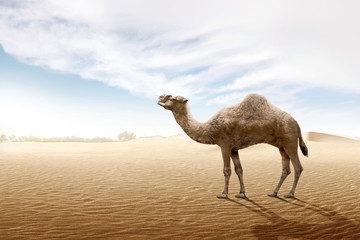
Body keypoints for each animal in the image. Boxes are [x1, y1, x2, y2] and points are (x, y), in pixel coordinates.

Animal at [158, 93, 310, 199]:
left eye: (172, 97)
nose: (160, 97)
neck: (210, 128)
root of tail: (297, 123)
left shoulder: (224, 144)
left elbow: (227, 170)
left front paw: (224, 194)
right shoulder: (234, 148)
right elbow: (239, 169)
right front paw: (242, 193)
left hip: (290, 141)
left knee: (298, 167)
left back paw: (290, 194)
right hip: (281, 146)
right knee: (286, 169)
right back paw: (273, 192)